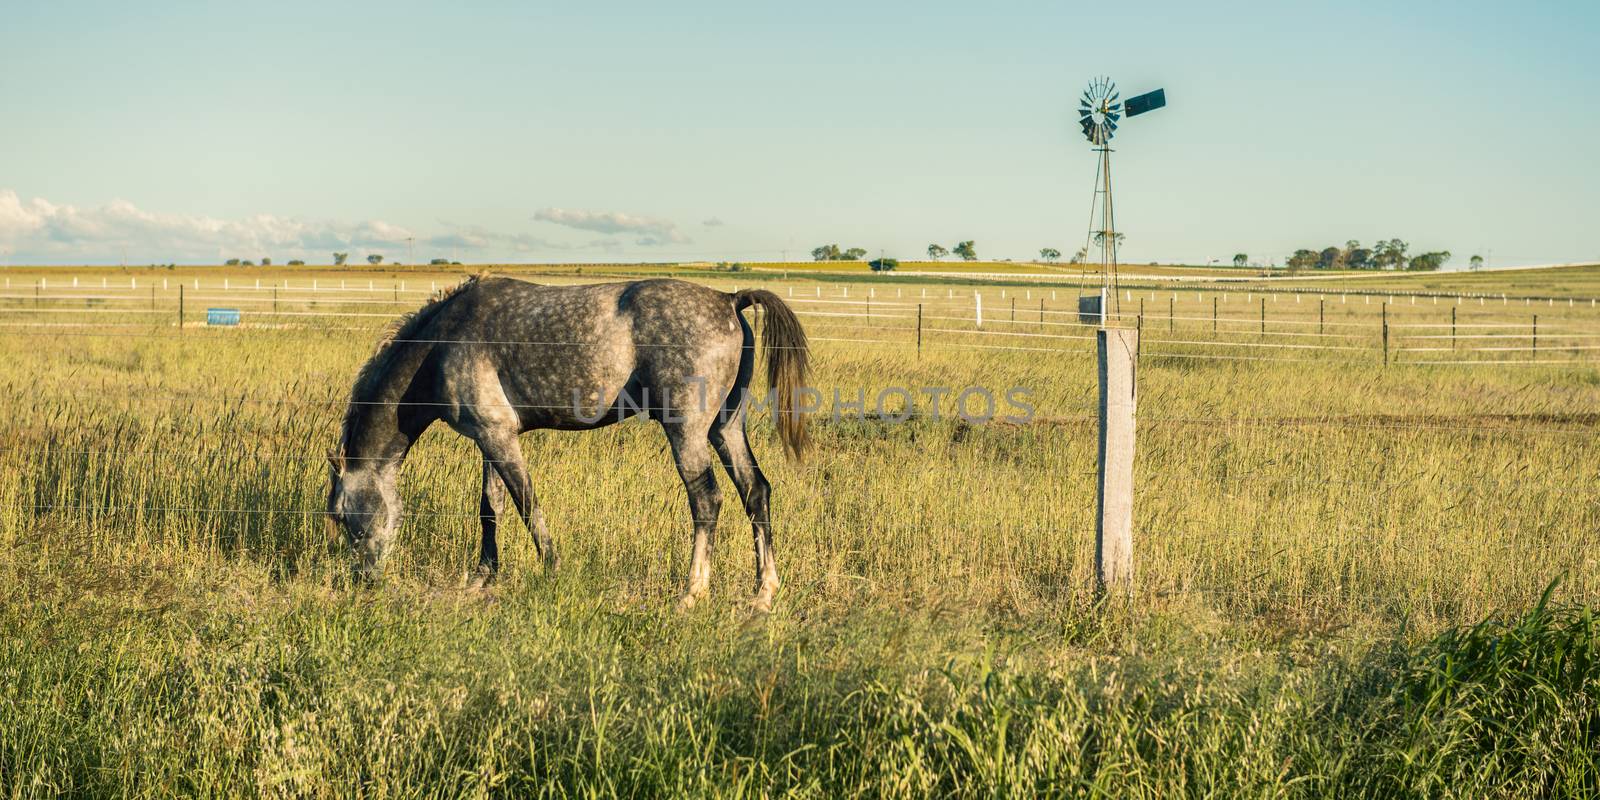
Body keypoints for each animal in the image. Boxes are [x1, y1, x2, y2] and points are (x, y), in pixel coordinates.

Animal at [331, 276, 819, 611]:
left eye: (340, 516)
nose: (365, 580)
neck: (441, 343)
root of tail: (728, 299)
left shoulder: (497, 437)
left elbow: (527, 504)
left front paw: (552, 569)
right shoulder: (491, 438)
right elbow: (491, 508)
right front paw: (483, 578)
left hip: (686, 432)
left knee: (707, 501)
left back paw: (692, 592)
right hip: (725, 429)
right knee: (755, 492)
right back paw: (763, 593)